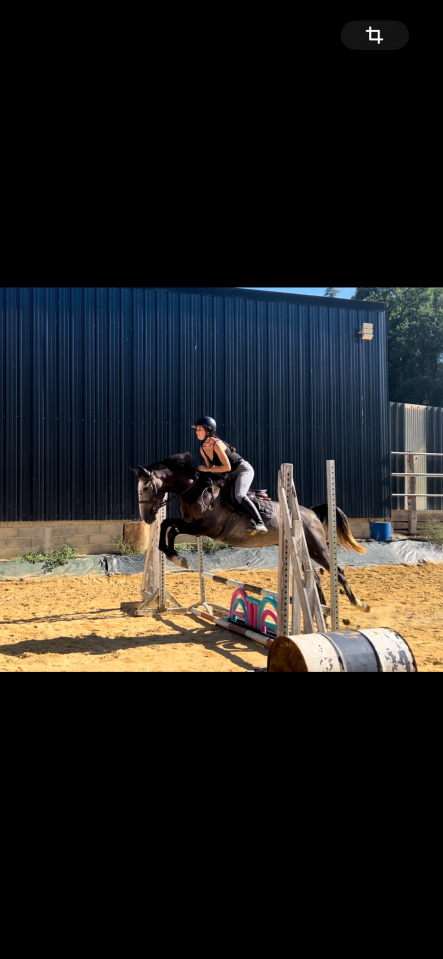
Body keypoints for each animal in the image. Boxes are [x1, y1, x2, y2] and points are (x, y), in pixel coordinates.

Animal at [131, 453, 370, 613]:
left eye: (145, 488)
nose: (147, 518)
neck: (196, 490)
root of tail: (310, 512)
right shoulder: (191, 523)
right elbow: (167, 525)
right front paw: (171, 554)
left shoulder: (205, 528)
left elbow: (173, 530)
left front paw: (178, 558)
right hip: (304, 549)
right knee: (316, 578)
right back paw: (322, 609)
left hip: (317, 547)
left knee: (337, 571)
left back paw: (357, 604)